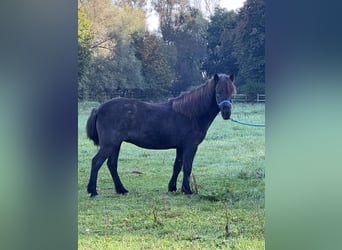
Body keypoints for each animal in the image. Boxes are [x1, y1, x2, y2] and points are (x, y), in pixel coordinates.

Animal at [86, 73, 235, 196]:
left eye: (232, 93)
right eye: (218, 92)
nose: (226, 113)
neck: (190, 114)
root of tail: (99, 108)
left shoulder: (180, 147)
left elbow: (177, 166)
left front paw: (173, 187)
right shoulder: (190, 146)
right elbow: (187, 167)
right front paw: (187, 190)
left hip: (116, 145)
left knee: (112, 165)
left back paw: (121, 190)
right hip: (109, 145)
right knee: (96, 162)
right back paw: (93, 191)